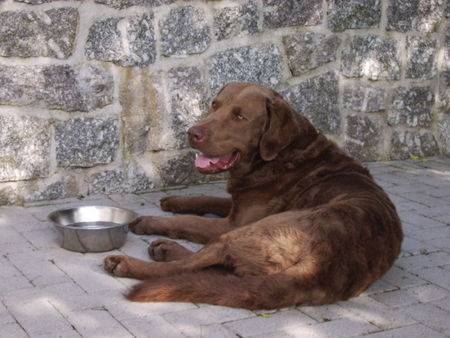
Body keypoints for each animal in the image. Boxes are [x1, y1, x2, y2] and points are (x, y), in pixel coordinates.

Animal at [103, 82, 402, 308]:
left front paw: (149, 220)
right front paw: (175, 201)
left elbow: (190, 222)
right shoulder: (240, 203)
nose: (192, 132)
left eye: (240, 117)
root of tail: (319, 269)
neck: (278, 155)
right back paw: (166, 250)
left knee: (188, 266)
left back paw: (133, 261)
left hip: (252, 231)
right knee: (215, 270)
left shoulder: (236, 222)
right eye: (215, 105)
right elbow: (209, 200)